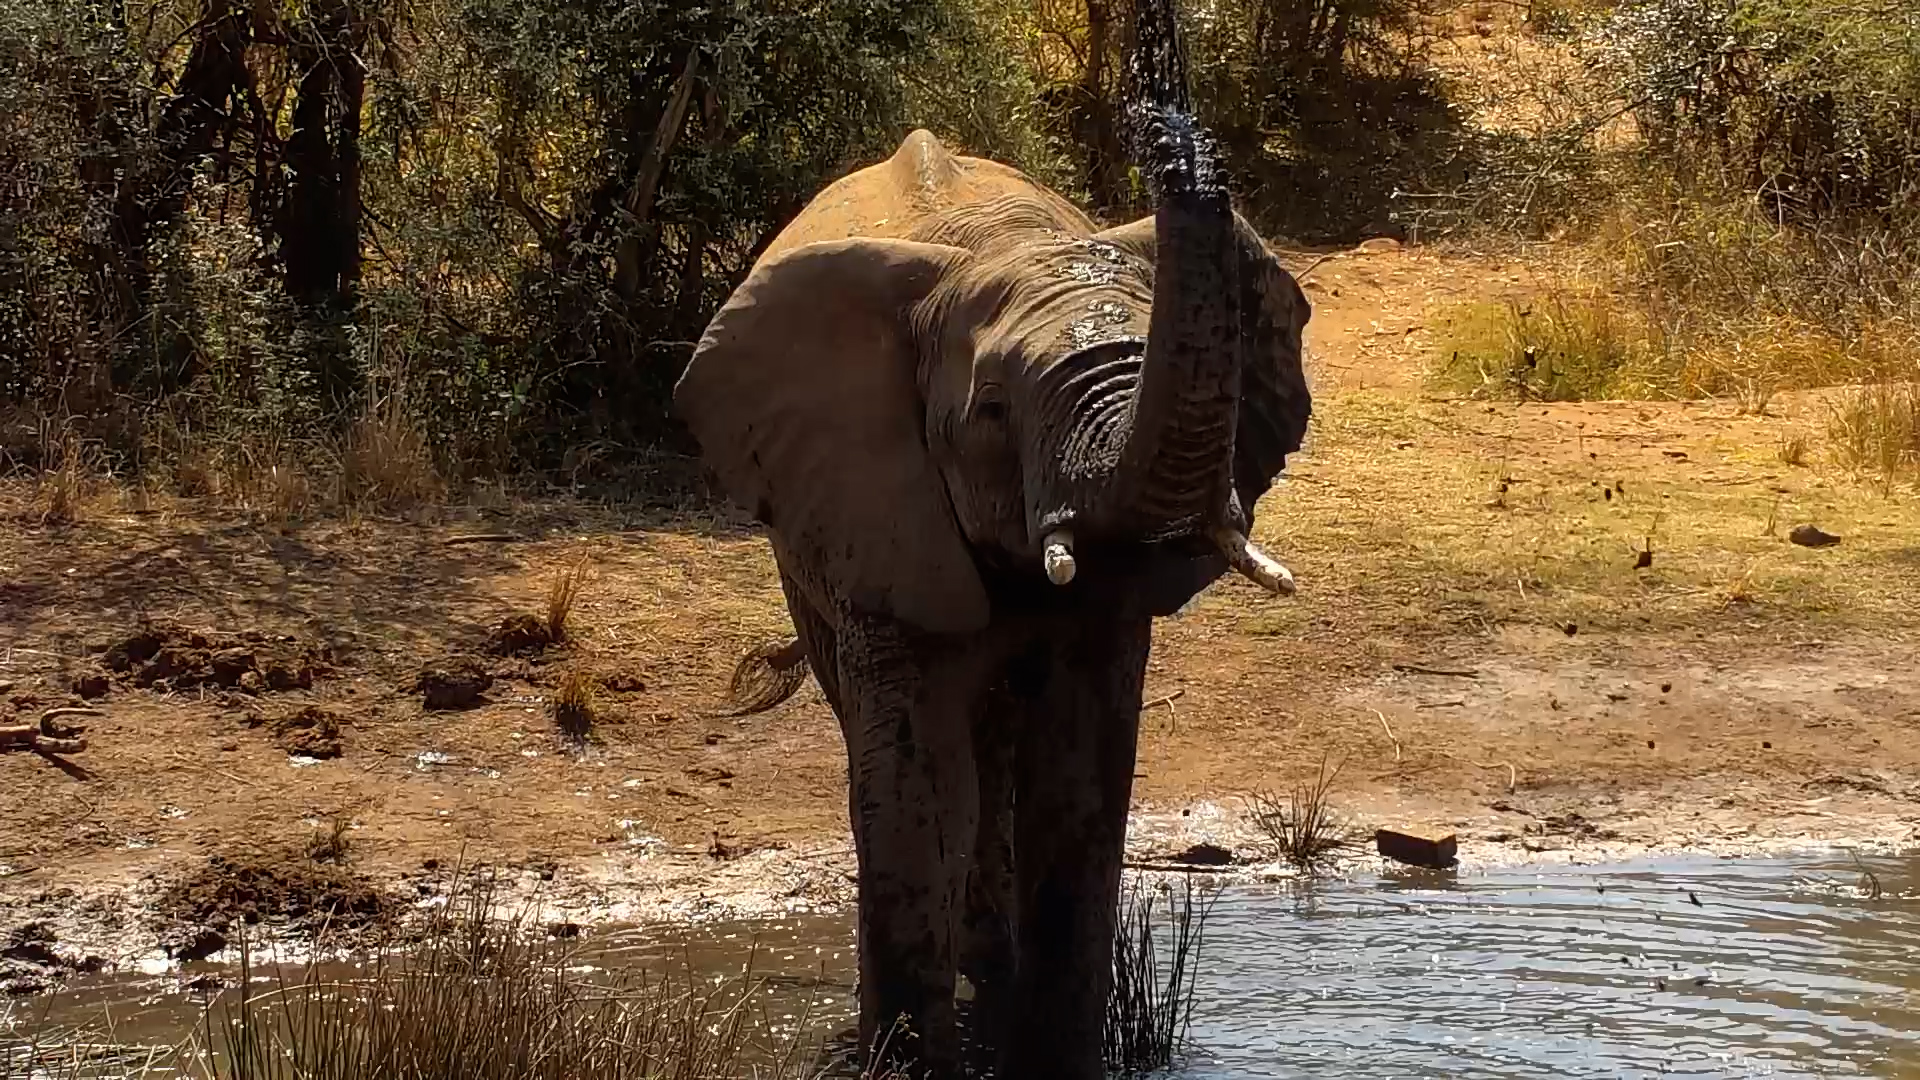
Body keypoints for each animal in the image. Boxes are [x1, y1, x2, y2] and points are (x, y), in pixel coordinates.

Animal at [673, 3, 1310, 1076]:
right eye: (994, 414)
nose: (1158, 73)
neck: (996, 244)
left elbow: (1080, 776)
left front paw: (1053, 1054)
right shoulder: (872, 499)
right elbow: (920, 782)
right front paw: (907, 1060)